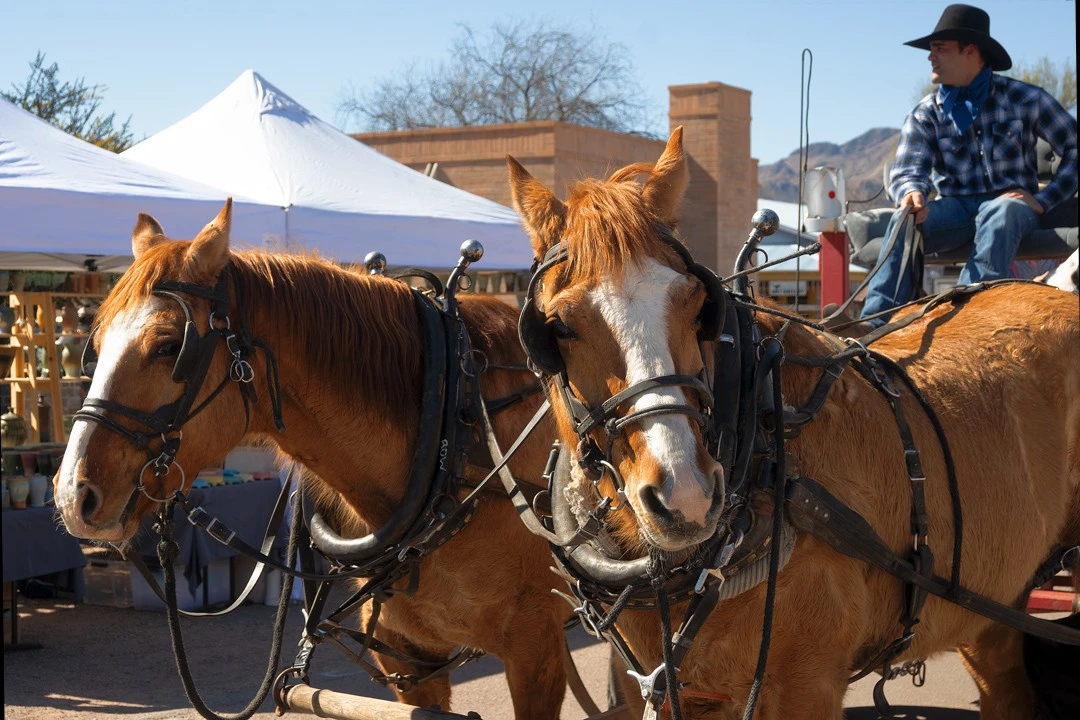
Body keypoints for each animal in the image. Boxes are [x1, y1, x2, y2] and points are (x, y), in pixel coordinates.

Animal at [507, 126, 1080, 716]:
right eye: (558, 326)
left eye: (695, 303)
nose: (685, 496)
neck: (760, 440)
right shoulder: (657, 686)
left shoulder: (809, 683)